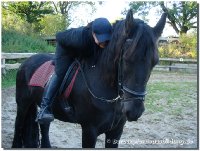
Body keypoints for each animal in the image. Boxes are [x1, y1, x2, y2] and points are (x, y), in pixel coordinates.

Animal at [11, 10, 166, 147]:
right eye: (127, 59)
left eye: (155, 62)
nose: (135, 111)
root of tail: (26, 62)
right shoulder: (89, 130)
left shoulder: (116, 131)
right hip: (23, 104)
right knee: (18, 125)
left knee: (44, 125)